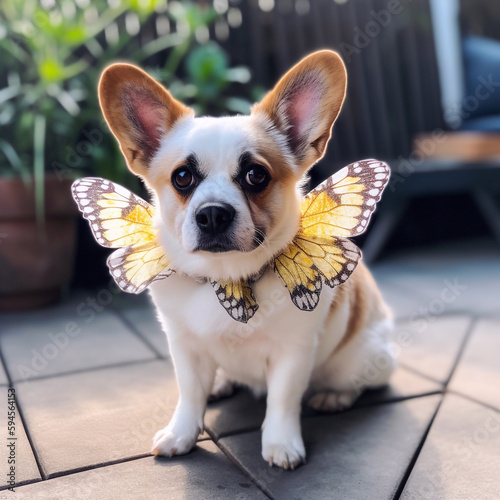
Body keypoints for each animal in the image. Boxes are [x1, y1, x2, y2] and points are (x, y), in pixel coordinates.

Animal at [96, 50, 394, 468]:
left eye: (256, 175)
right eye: (182, 177)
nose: (212, 213)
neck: (226, 277)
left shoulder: (293, 352)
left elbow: (282, 401)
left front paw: (281, 443)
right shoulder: (184, 347)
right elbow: (189, 394)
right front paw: (181, 433)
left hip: (361, 359)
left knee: (356, 382)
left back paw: (334, 396)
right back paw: (221, 383)